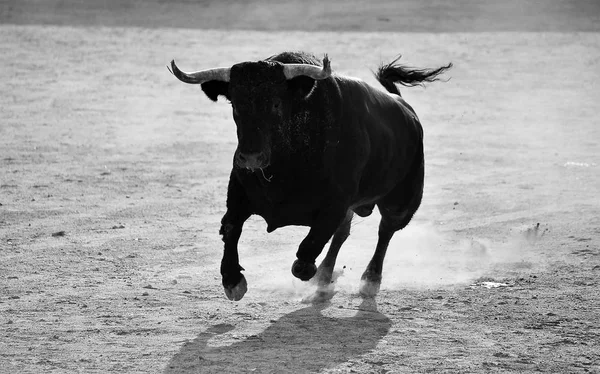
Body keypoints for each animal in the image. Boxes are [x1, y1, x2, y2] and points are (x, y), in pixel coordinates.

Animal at [169, 51, 450, 300]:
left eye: (276, 103)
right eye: (235, 104)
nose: (250, 158)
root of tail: (404, 107)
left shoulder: (336, 202)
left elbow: (311, 245)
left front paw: (308, 270)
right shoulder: (239, 192)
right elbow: (230, 228)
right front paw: (232, 281)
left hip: (403, 201)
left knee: (385, 231)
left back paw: (368, 280)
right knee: (343, 233)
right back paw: (325, 276)